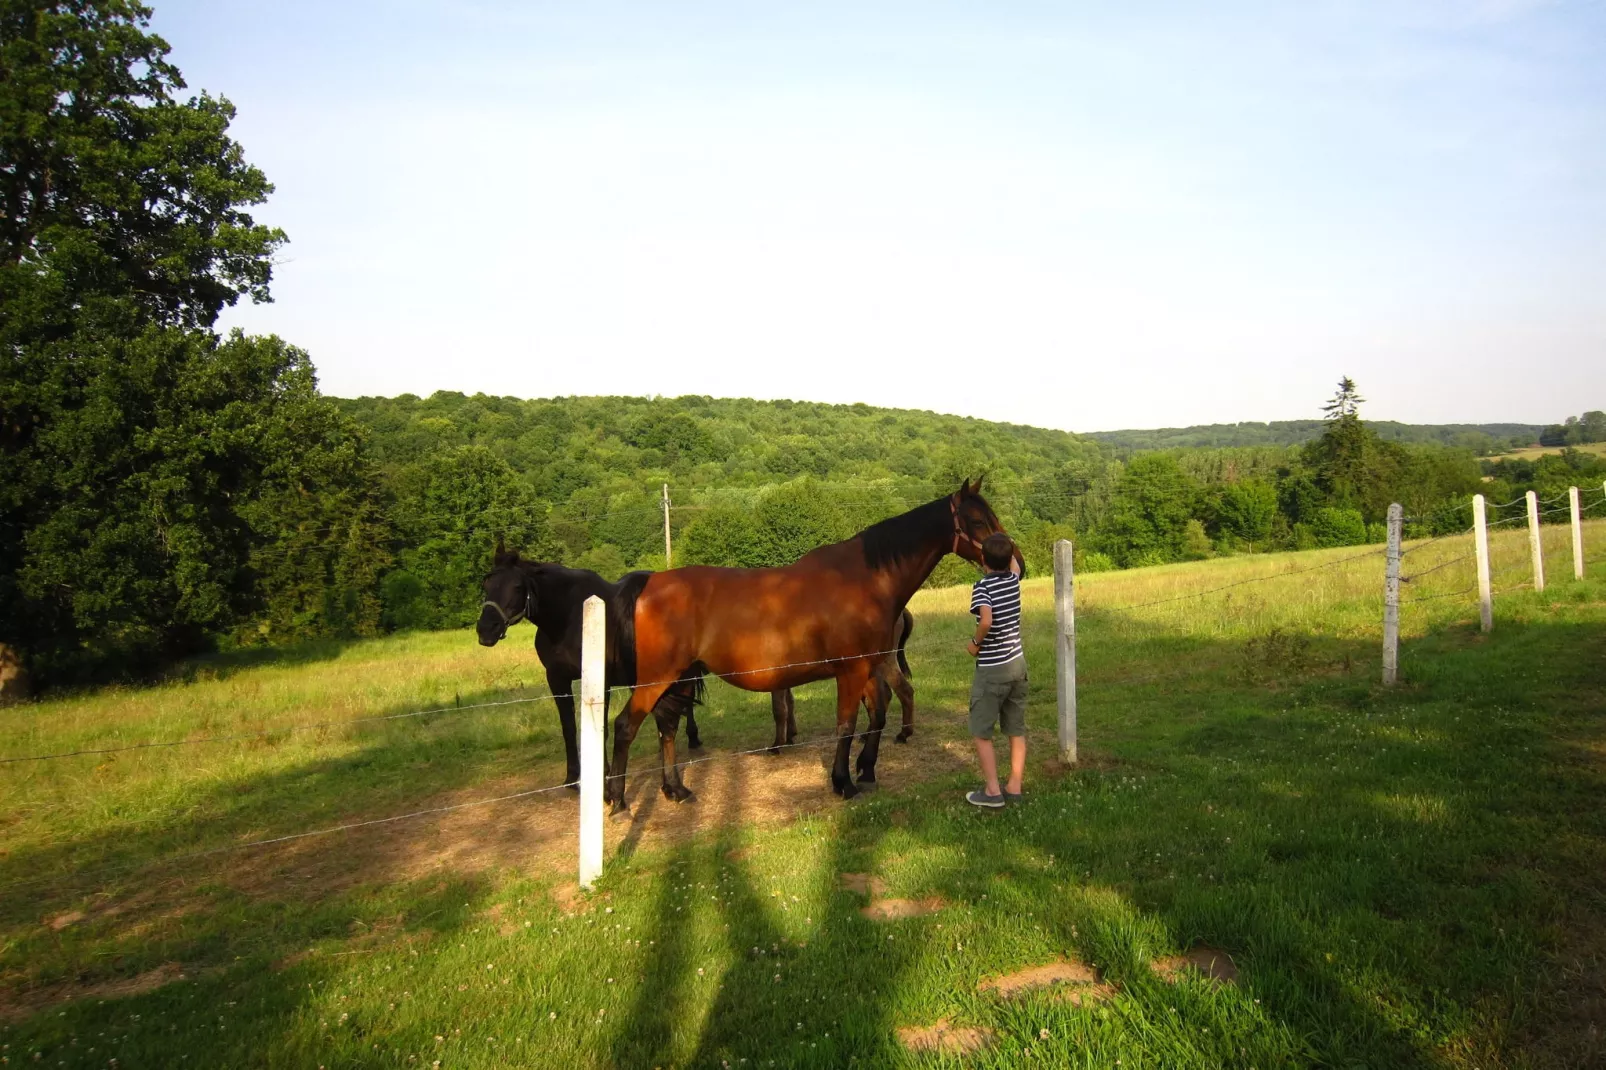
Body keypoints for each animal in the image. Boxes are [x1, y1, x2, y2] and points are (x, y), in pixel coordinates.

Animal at [475, 549, 703, 784]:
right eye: (487, 583)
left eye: (517, 586)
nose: (486, 630)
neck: (569, 618)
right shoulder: (557, 679)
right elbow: (568, 728)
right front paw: (572, 776)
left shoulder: (601, 680)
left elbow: (601, 727)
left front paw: (603, 772)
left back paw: (692, 737)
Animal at [607, 475, 1021, 809]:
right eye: (978, 520)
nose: (1015, 562)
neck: (864, 579)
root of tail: (650, 582)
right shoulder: (852, 671)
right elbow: (847, 724)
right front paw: (843, 783)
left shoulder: (869, 667)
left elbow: (874, 715)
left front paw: (864, 770)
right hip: (657, 679)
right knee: (626, 725)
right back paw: (617, 799)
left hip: (679, 678)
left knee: (667, 727)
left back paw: (675, 789)